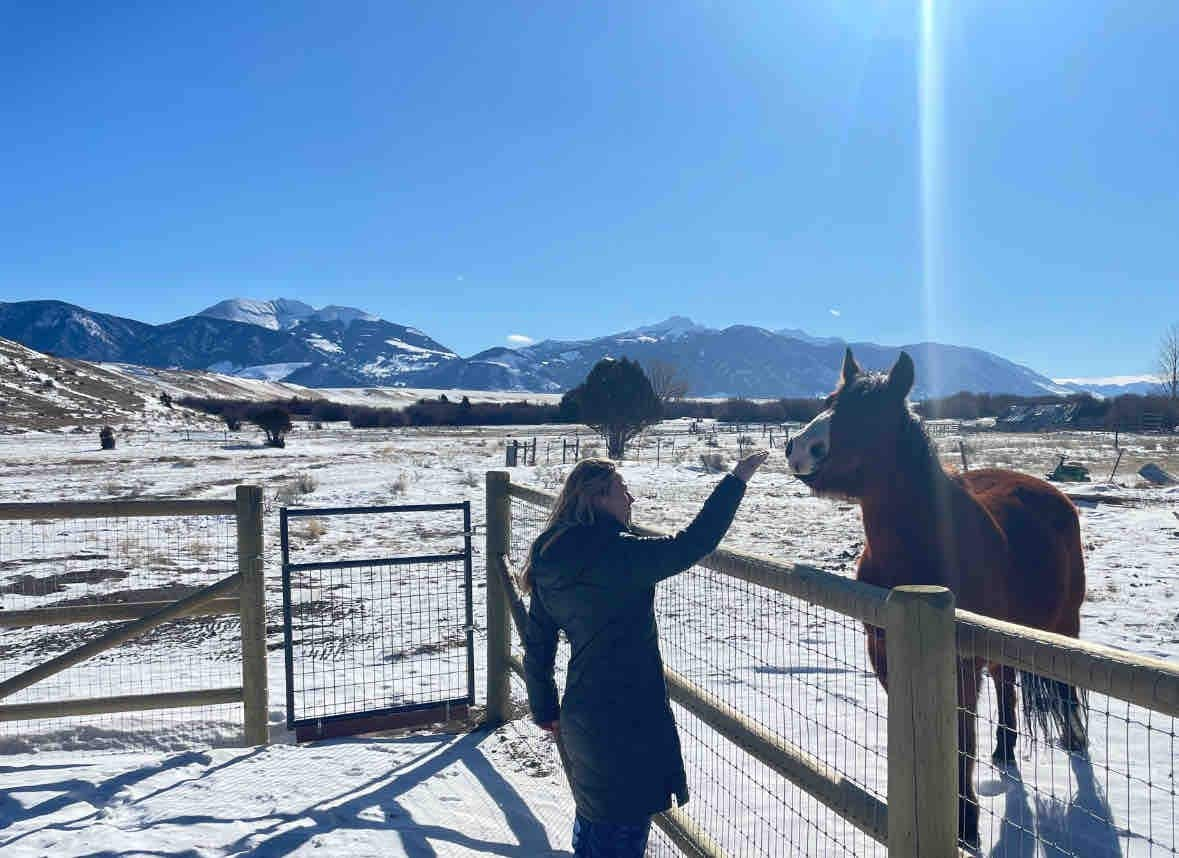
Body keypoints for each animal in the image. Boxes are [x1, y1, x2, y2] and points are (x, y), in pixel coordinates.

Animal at [782, 346, 1084, 843]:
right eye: (829, 400)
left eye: (872, 412)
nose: (799, 448)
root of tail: (1054, 494)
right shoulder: (885, 655)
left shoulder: (960, 663)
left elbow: (961, 741)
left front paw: (966, 822)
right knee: (1006, 682)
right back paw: (1005, 750)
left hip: (1065, 626)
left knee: (1066, 687)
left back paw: (1075, 741)